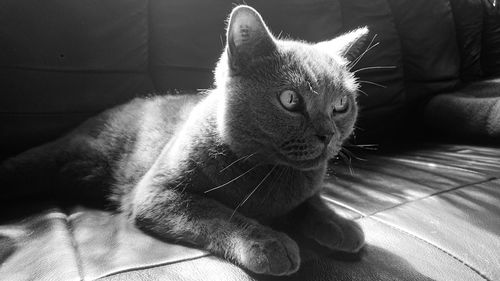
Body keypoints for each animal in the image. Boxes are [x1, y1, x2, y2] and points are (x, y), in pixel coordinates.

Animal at [0, 5, 368, 274]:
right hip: (64, 154)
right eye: (290, 100)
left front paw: (342, 225)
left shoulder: (305, 190)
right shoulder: (157, 192)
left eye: (341, 105)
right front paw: (268, 243)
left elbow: (313, 203)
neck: (271, 174)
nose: (327, 135)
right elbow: (221, 213)